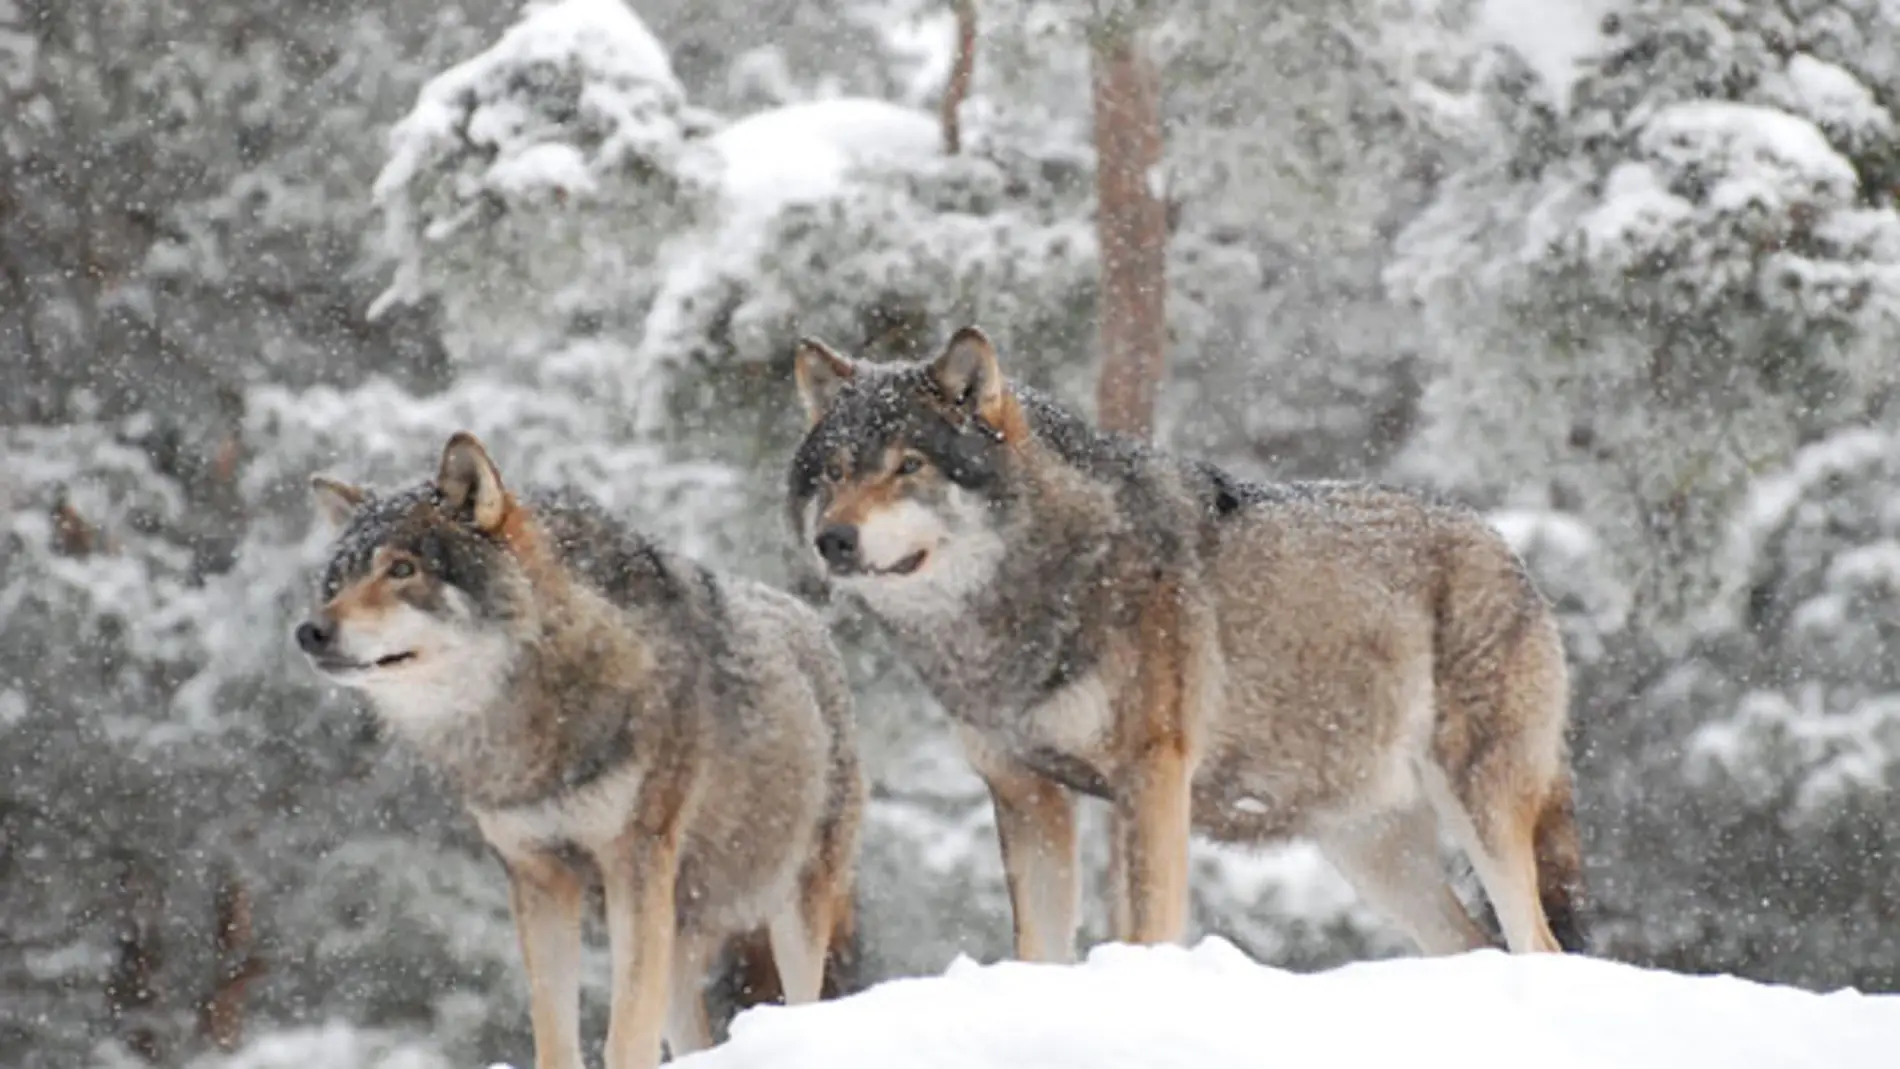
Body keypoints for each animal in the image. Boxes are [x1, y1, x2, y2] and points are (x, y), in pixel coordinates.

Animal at [292, 434, 866, 1069]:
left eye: (401, 569)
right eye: (338, 581)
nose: (310, 631)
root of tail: (811, 621)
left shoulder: (633, 863)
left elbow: (626, 1037)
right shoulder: (537, 878)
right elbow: (554, 1034)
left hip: (792, 909)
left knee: (805, 999)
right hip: (680, 932)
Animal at [779, 324, 1580, 960]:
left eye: (909, 465)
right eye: (837, 471)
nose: (833, 540)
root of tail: (1507, 549)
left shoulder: (1153, 770)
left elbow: (1147, 926)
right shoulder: (1024, 791)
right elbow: (1038, 949)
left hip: (1476, 810)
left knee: (1537, 942)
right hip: (1372, 852)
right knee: (1474, 945)